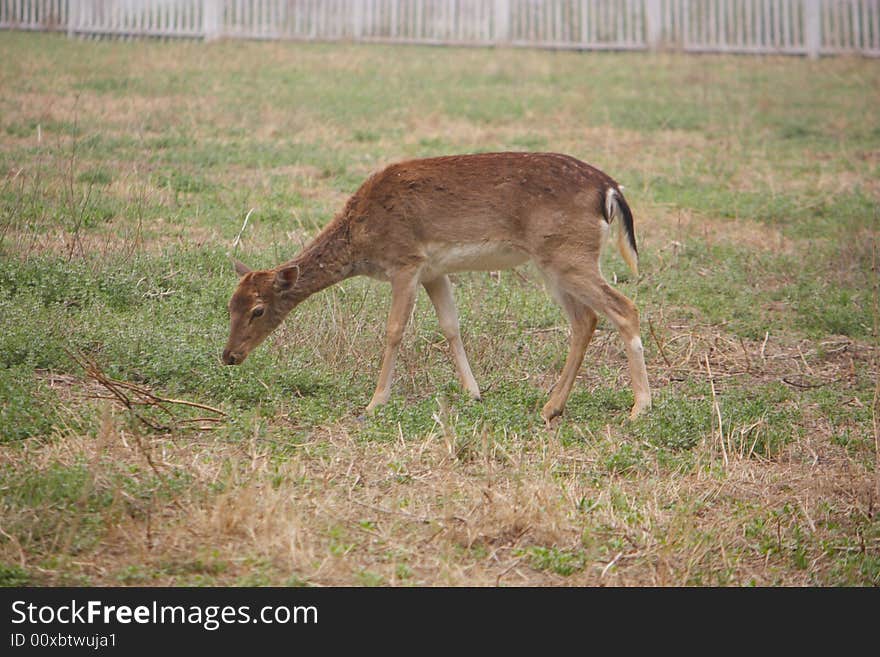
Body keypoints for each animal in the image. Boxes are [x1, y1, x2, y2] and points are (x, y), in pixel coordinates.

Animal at [225, 152, 652, 420]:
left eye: (258, 310)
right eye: (230, 304)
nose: (229, 355)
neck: (362, 239)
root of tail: (611, 189)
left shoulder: (405, 262)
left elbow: (394, 330)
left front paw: (375, 403)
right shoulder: (433, 270)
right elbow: (451, 326)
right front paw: (473, 392)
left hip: (567, 254)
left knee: (624, 308)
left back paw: (640, 407)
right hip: (557, 261)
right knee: (586, 320)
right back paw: (551, 407)